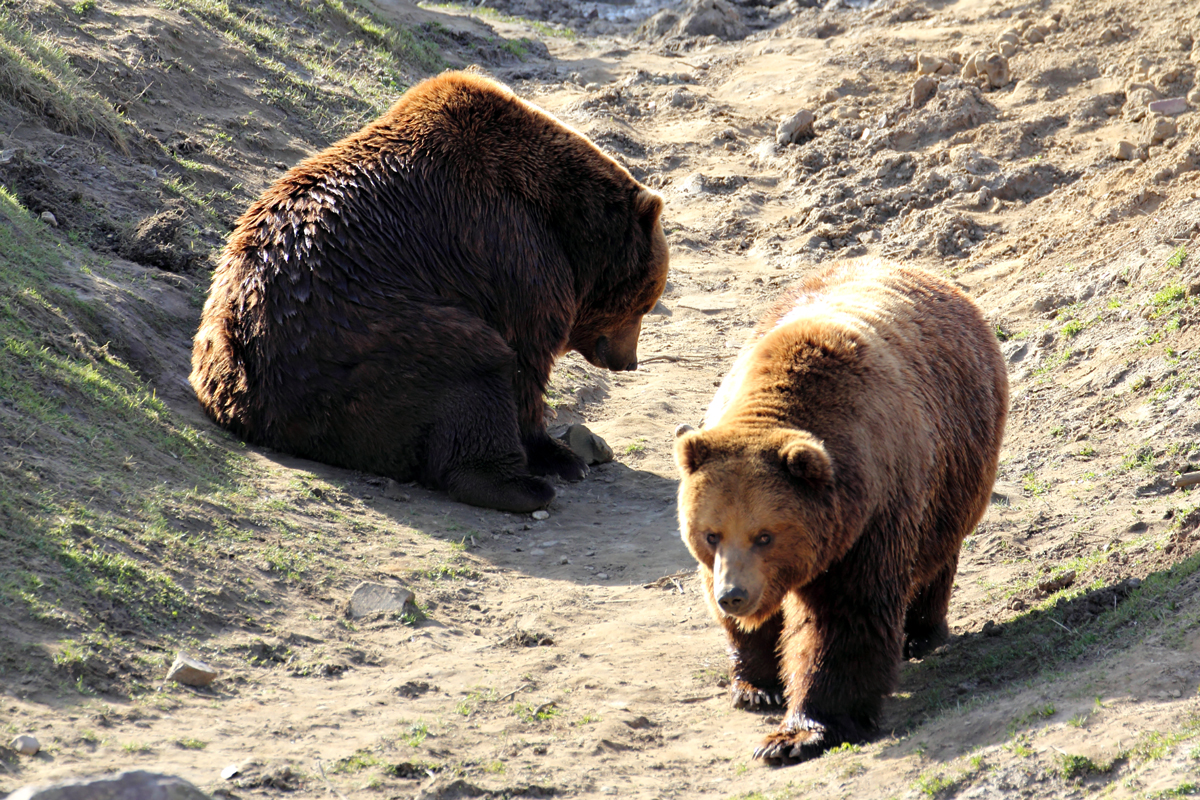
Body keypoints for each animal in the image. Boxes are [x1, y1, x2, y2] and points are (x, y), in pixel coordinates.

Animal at [192, 70, 672, 513]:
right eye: (646, 302)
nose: (629, 361)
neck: (566, 226)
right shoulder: (511, 247)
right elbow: (526, 359)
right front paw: (558, 455)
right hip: (368, 339)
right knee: (477, 364)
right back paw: (520, 486)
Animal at [676, 260, 1003, 767]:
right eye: (711, 534)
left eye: (765, 535)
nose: (734, 595)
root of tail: (927, 273)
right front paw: (757, 685)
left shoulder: (872, 516)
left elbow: (845, 618)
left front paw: (798, 733)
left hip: (954, 470)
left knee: (936, 553)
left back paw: (921, 634)